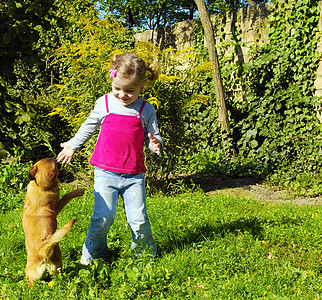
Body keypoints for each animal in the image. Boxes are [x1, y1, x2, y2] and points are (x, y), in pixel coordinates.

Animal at [22, 158, 85, 288]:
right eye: (53, 165)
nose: (56, 159)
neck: (40, 186)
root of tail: (41, 253)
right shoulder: (57, 206)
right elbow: (67, 195)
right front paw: (78, 190)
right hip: (58, 262)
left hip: (31, 276)